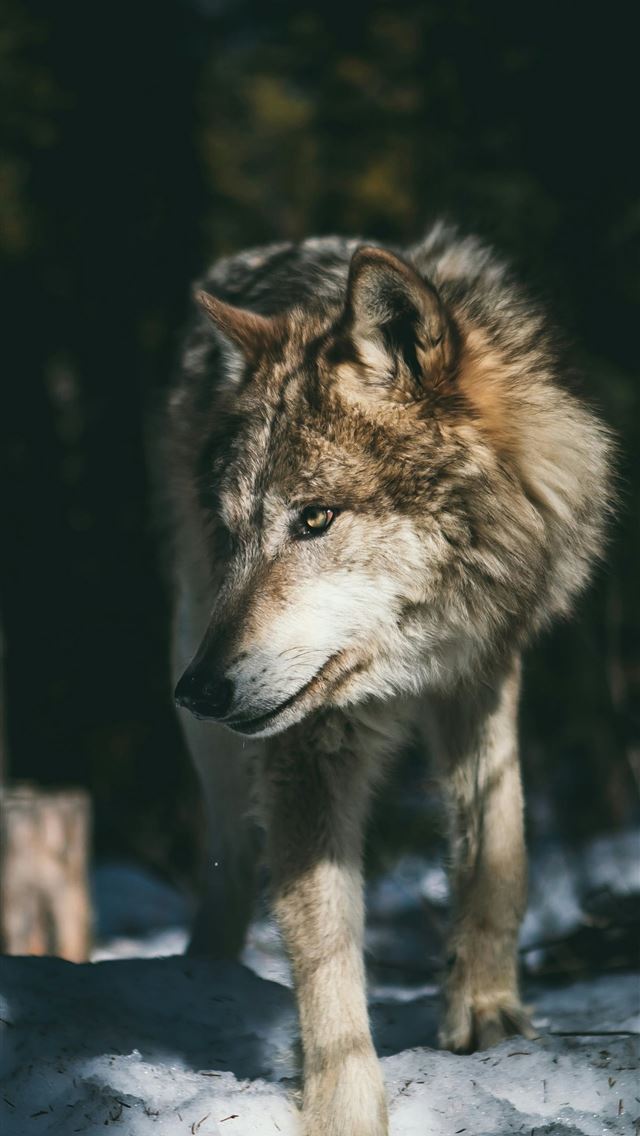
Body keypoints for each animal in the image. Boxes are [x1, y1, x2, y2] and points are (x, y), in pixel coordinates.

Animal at [163, 222, 612, 1136]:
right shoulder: (306, 739)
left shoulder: (484, 670)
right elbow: (324, 940)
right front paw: (345, 1106)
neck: (410, 652)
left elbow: (498, 848)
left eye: (315, 518)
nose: (201, 691)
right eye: (233, 534)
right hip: (193, 665)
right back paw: (204, 973)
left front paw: (487, 1013)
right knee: (228, 854)